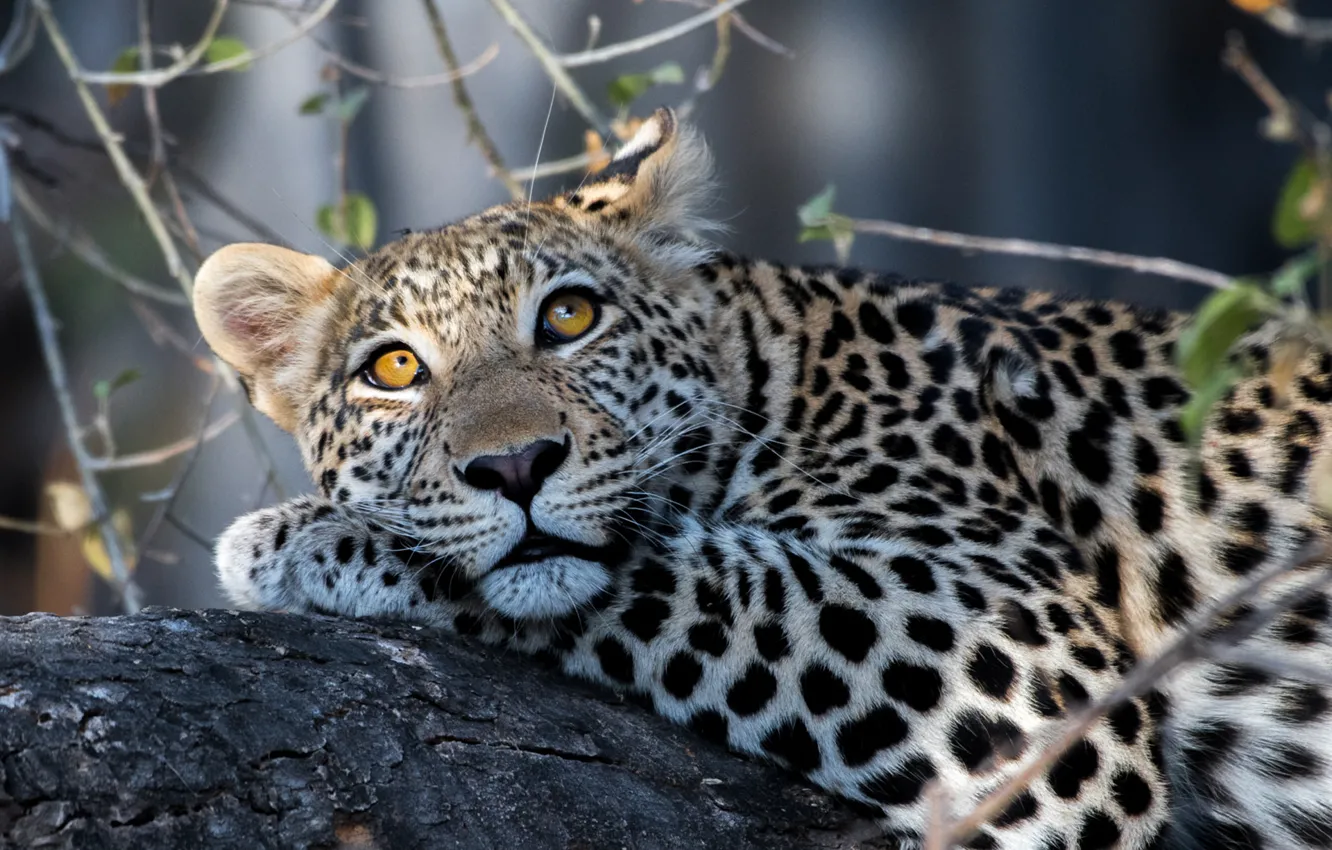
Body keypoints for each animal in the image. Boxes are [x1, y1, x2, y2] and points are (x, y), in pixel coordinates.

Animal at [193, 108, 1332, 849]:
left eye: (569, 315)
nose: (514, 465)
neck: (780, 364)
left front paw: (307, 540)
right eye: (393, 370)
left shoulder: (1023, 654)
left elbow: (697, 574)